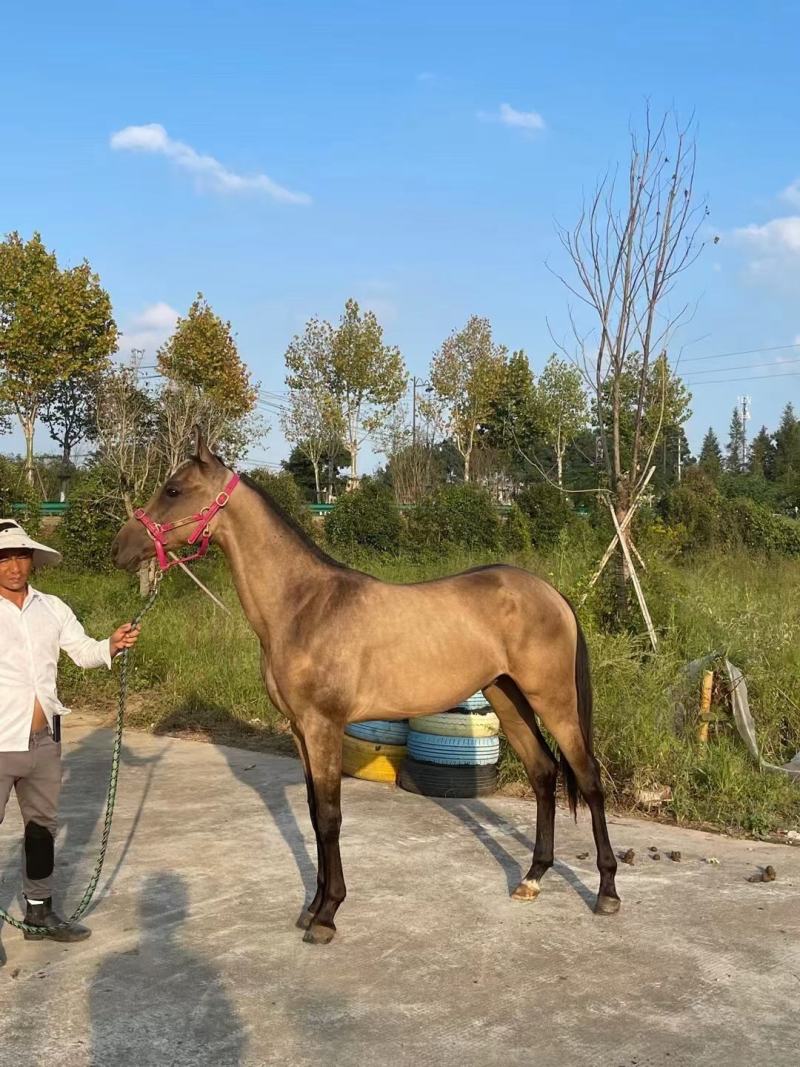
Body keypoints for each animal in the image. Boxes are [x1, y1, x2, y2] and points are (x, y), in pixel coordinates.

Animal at [111, 432, 619, 945]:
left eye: (174, 490)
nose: (120, 548)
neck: (303, 607)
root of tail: (551, 594)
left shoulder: (324, 727)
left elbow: (330, 817)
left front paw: (327, 915)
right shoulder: (300, 731)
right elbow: (314, 813)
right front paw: (312, 907)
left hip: (554, 702)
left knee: (588, 779)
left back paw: (607, 892)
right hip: (507, 697)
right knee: (543, 772)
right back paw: (532, 878)